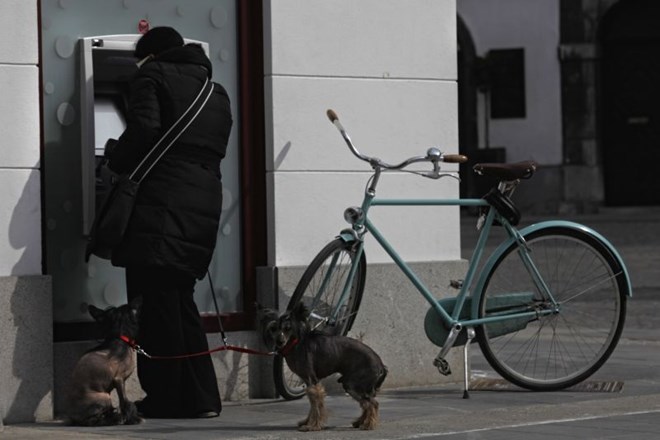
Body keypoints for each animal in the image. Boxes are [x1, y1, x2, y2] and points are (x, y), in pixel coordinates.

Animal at [262, 302, 390, 430]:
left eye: (288, 328)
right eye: (273, 328)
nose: (279, 342)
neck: (296, 343)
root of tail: (381, 364)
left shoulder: (313, 382)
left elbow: (316, 406)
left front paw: (312, 426)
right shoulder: (309, 383)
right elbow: (313, 405)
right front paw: (307, 422)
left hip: (352, 384)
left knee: (372, 403)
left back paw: (369, 424)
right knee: (366, 403)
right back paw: (361, 422)